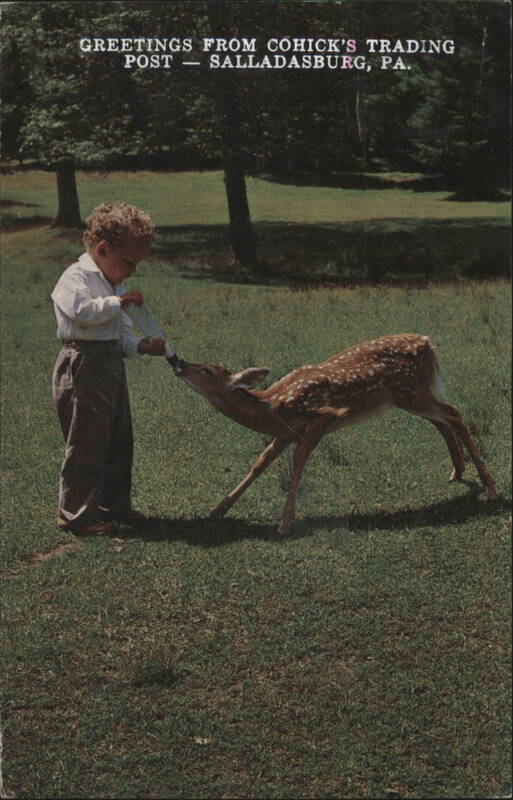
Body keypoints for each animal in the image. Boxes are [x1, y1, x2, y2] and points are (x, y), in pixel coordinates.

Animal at [167, 334, 497, 533]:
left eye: (208, 371)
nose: (178, 362)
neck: (274, 407)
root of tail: (427, 342)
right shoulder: (286, 432)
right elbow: (259, 464)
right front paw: (218, 509)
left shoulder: (324, 416)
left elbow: (299, 460)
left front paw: (285, 522)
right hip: (410, 395)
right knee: (442, 419)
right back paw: (458, 472)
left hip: (410, 392)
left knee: (453, 412)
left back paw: (490, 489)